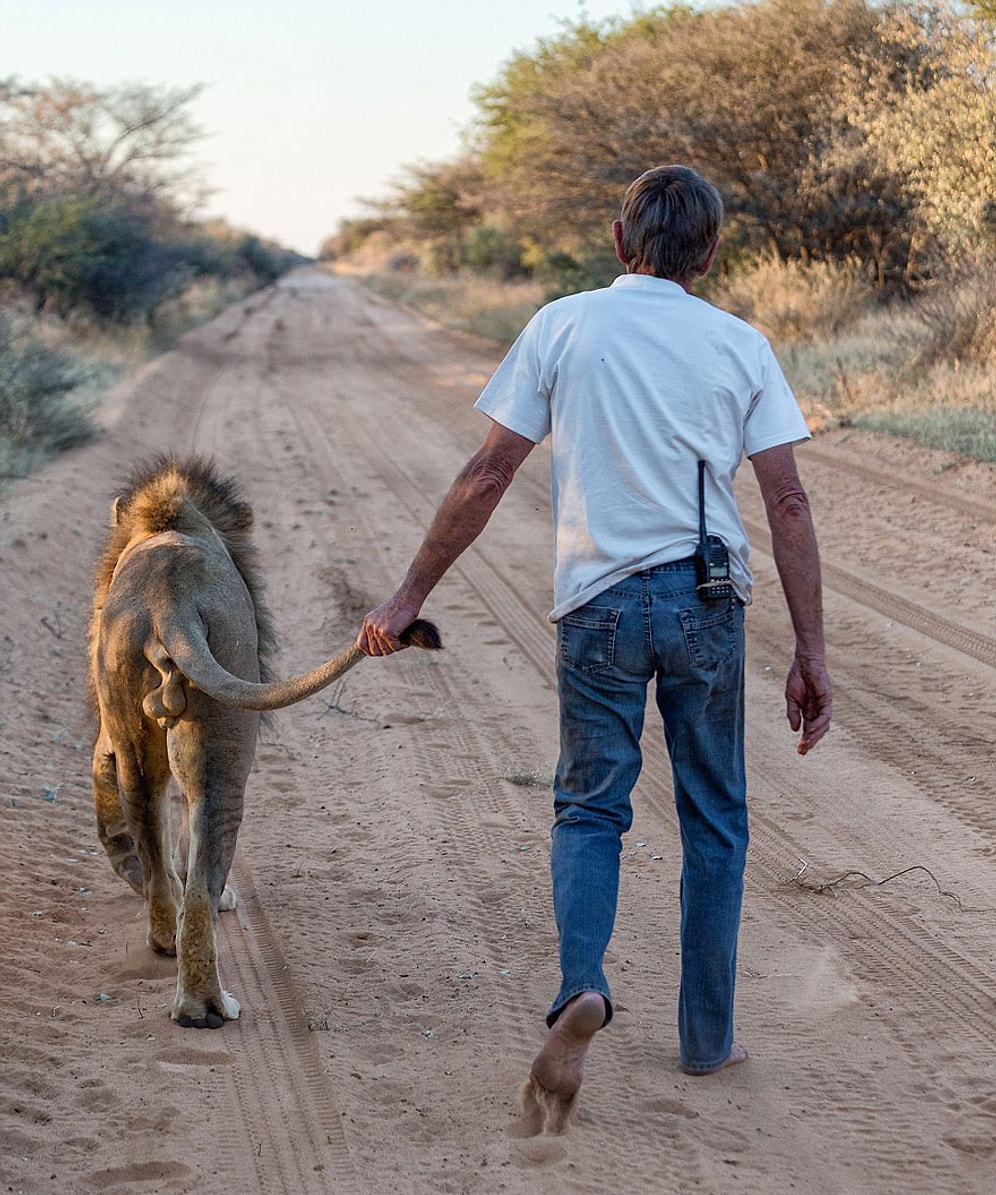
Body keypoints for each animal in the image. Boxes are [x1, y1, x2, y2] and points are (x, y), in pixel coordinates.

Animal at [87, 456, 437, 1027]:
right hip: (225, 732)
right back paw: (205, 1005)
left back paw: (164, 935)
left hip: (131, 717)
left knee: (149, 823)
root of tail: (169, 603)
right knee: (204, 863)